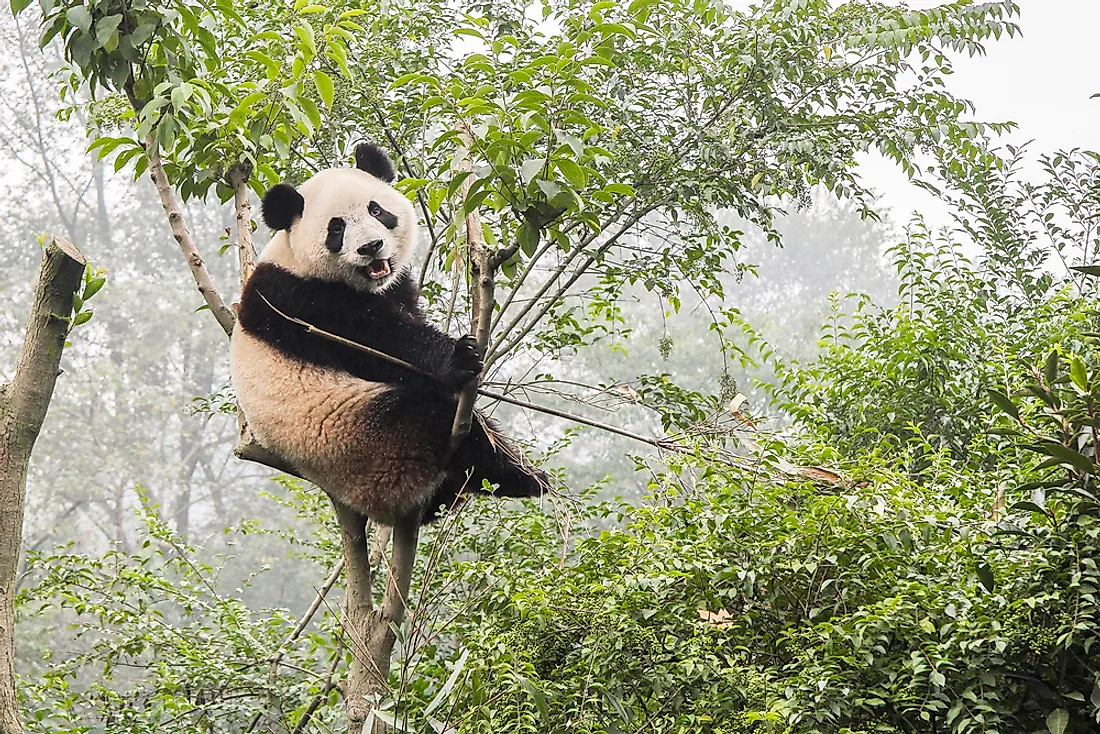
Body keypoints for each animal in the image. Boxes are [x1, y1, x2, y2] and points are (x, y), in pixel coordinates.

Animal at [229, 140, 547, 526]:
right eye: (337, 229)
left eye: (376, 210)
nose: (370, 247)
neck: (295, 259)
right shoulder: (297, 302)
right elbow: (379, 343)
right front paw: (458, 357)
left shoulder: (395, 287)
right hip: (363, 441)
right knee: (432, 416)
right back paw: (516, 475)